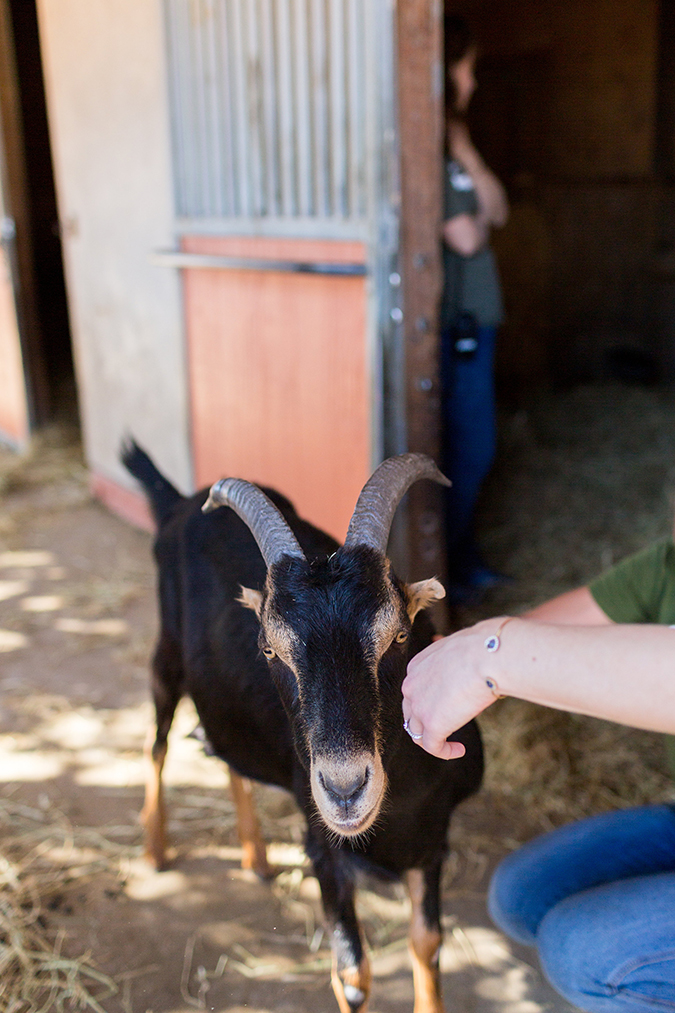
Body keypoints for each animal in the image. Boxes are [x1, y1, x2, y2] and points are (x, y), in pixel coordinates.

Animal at [121, 447, 478, 1013]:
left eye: (400, 635)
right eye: (270, 648)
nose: (345, 790)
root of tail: (180, 502)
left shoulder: (432, 840)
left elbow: (428, 943)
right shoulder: (324, 850)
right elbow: (353, 973)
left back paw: (256, 855)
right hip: (166, 655)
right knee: (155, 743)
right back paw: (156, 848)